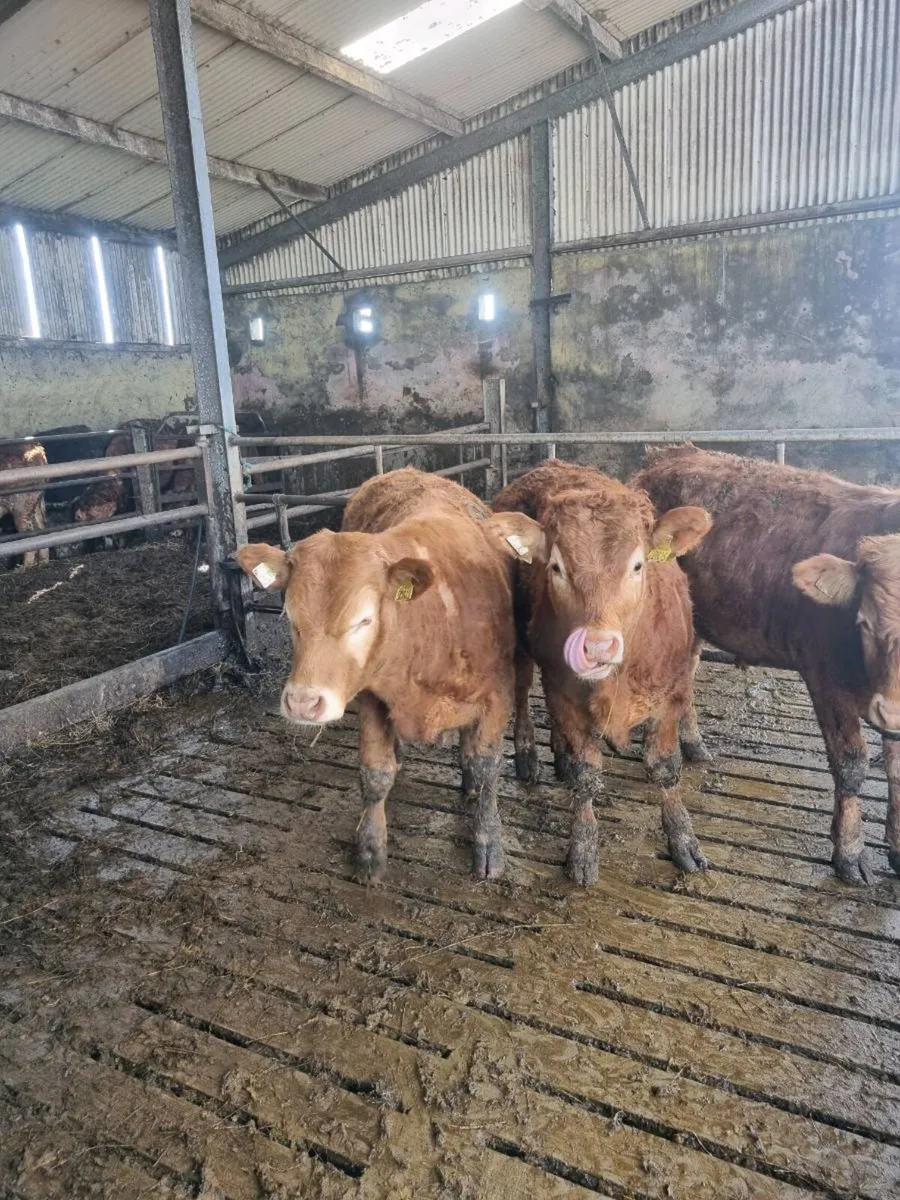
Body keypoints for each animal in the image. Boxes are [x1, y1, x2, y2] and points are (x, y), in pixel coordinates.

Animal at [235, 467, 542, 883]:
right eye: (290, 616)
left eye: (364, 620)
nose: (302, 701)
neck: (433, 623)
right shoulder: (372, 697)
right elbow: (375, 773)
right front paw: (369, 850)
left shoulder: (495, 698)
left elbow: (487, 770)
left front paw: (489, 842)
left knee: (523, 700)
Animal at [492, 460, 712, 885]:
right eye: (556, 567)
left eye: (638, 565)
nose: (595, 647)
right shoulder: (563, 691)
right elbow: (586, 775)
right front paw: (582, 847)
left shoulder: (669, 694)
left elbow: (664, 769)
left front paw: (683, 837)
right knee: (523, 691)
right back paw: (529, 754)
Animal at [636, 443, 900, 886]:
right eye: (864, 621)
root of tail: (671, 454)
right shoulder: (824, 678)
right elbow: (851, 766)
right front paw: (849, 852)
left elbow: (895, 768)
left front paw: (896, 846)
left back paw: (693, 743)